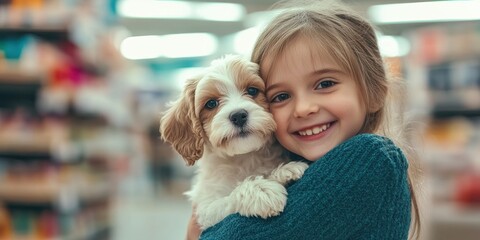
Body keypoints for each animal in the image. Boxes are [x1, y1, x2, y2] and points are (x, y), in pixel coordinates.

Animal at [159, 55, 306, 230]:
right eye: (211, 103)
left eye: (252, 90)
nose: (238, 115)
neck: (243, 157)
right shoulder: (207, 209)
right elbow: (228, 199)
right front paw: (261, 190)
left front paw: (284, 171)